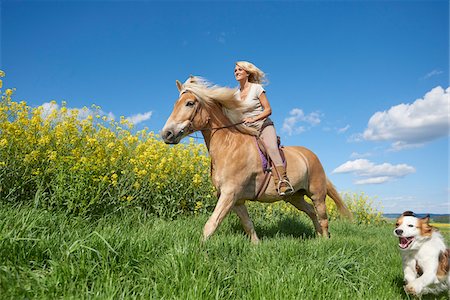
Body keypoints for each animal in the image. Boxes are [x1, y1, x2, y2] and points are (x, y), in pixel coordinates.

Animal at [162, 76, 352, 243]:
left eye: (190, 103)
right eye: (175, 104)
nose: (166, 134)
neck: (229, 146)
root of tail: (311, 155)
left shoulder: (229, 194)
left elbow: (210, 225)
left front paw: (200, 251)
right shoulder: (236, 200)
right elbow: (248, 225)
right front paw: (256, 245)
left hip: (317, 194)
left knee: (323, 217)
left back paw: (325, 241)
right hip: (294, 197)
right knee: (312, 212)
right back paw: (318, 237)